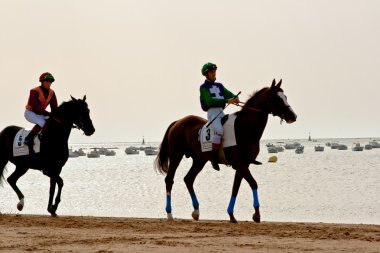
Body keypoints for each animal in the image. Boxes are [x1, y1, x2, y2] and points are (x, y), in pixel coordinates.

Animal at [154, 79, 296, 223]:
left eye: (285, 96)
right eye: (276, 98)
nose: (293, 116)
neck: (244, 128)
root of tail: (178, 122)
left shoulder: (243, 164)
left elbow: (236, 188)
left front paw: (231, 214)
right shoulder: (240, 163)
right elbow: (253, 183)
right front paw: (256, 214)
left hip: (199, 160)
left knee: (188, 179)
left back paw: (196, 211)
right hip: (176, 155)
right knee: (169, 179)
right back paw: (169, 213)